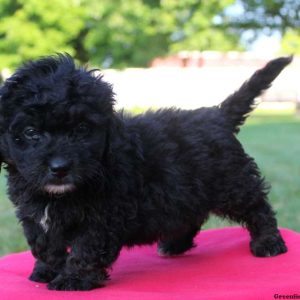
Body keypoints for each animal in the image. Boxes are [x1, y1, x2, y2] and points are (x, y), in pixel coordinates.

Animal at [0, 54, 290, 290]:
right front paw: (47, 271)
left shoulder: (102, 216)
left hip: (232, 183)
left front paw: (73, 279)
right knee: (192, 215)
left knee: (258, 207)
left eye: (82, 129)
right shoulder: (34, 215)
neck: (57, 195)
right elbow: (44, 245)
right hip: (187, 190)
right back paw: (175, 244)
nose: (60, 167)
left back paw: (268, 243)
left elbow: (86, 248)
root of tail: (218, 115)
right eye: (31, 132)